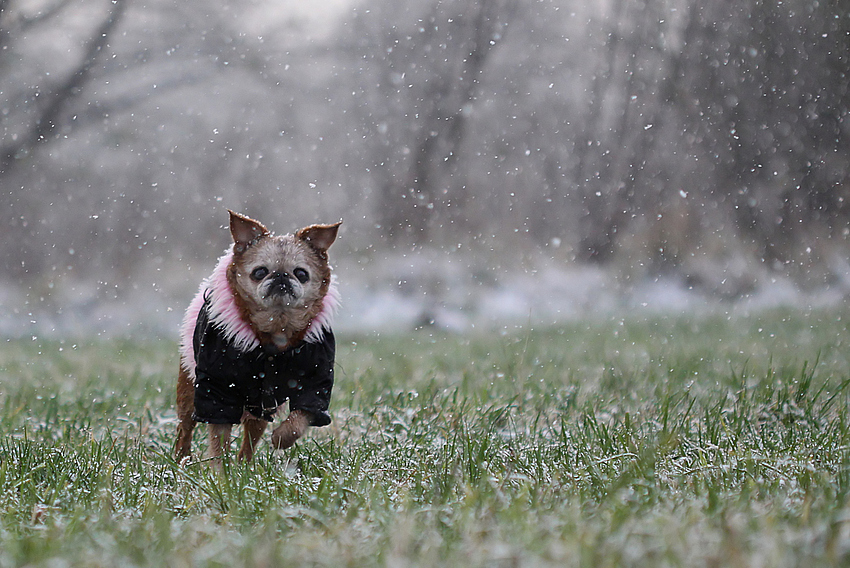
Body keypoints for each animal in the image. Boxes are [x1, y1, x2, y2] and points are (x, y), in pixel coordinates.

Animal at [174, 211, 340, 464]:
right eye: (259, 272)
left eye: (301, 274)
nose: (281, 276)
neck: (276, 334)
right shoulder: (218, 389)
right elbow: (219, 438)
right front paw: (221, 471)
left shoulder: (314, 383)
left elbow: (300, 418)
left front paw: (281, 438)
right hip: (189, 390)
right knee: (185, 428)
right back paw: (182, 460)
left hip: (262, 408)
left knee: (251, 439)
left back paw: (246, 464)